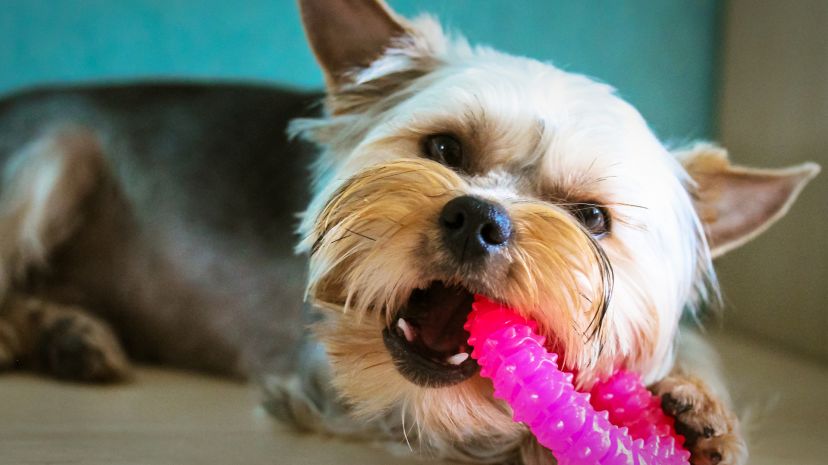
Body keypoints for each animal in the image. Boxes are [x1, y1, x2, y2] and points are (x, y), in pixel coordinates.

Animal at [0, 0, 820, 464]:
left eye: (592, 218)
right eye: (445, 148)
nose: (479, 218)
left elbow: (691, 358)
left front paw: (702, 413)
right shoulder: (330, 385)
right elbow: (496, 427)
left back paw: (65, 334)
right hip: (54, 152)